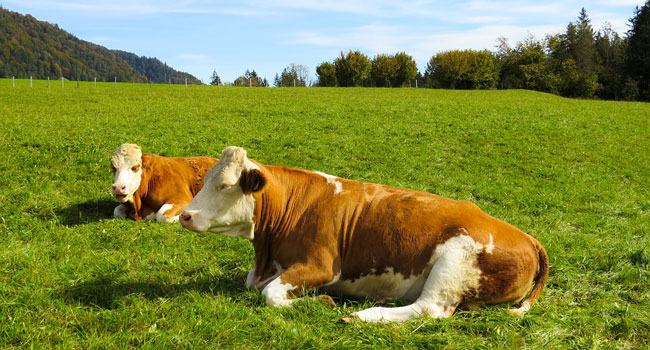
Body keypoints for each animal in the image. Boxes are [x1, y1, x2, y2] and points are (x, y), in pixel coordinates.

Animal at [177, 146, 548, 322]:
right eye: (205, 180)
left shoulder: (323, 265)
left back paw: (361, 315)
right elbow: (255, 284)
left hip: (454, 262)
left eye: (225, 185)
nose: (185, 215)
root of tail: (527, 237)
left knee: (429, 309)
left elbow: (269, 294)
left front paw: (321, 301)